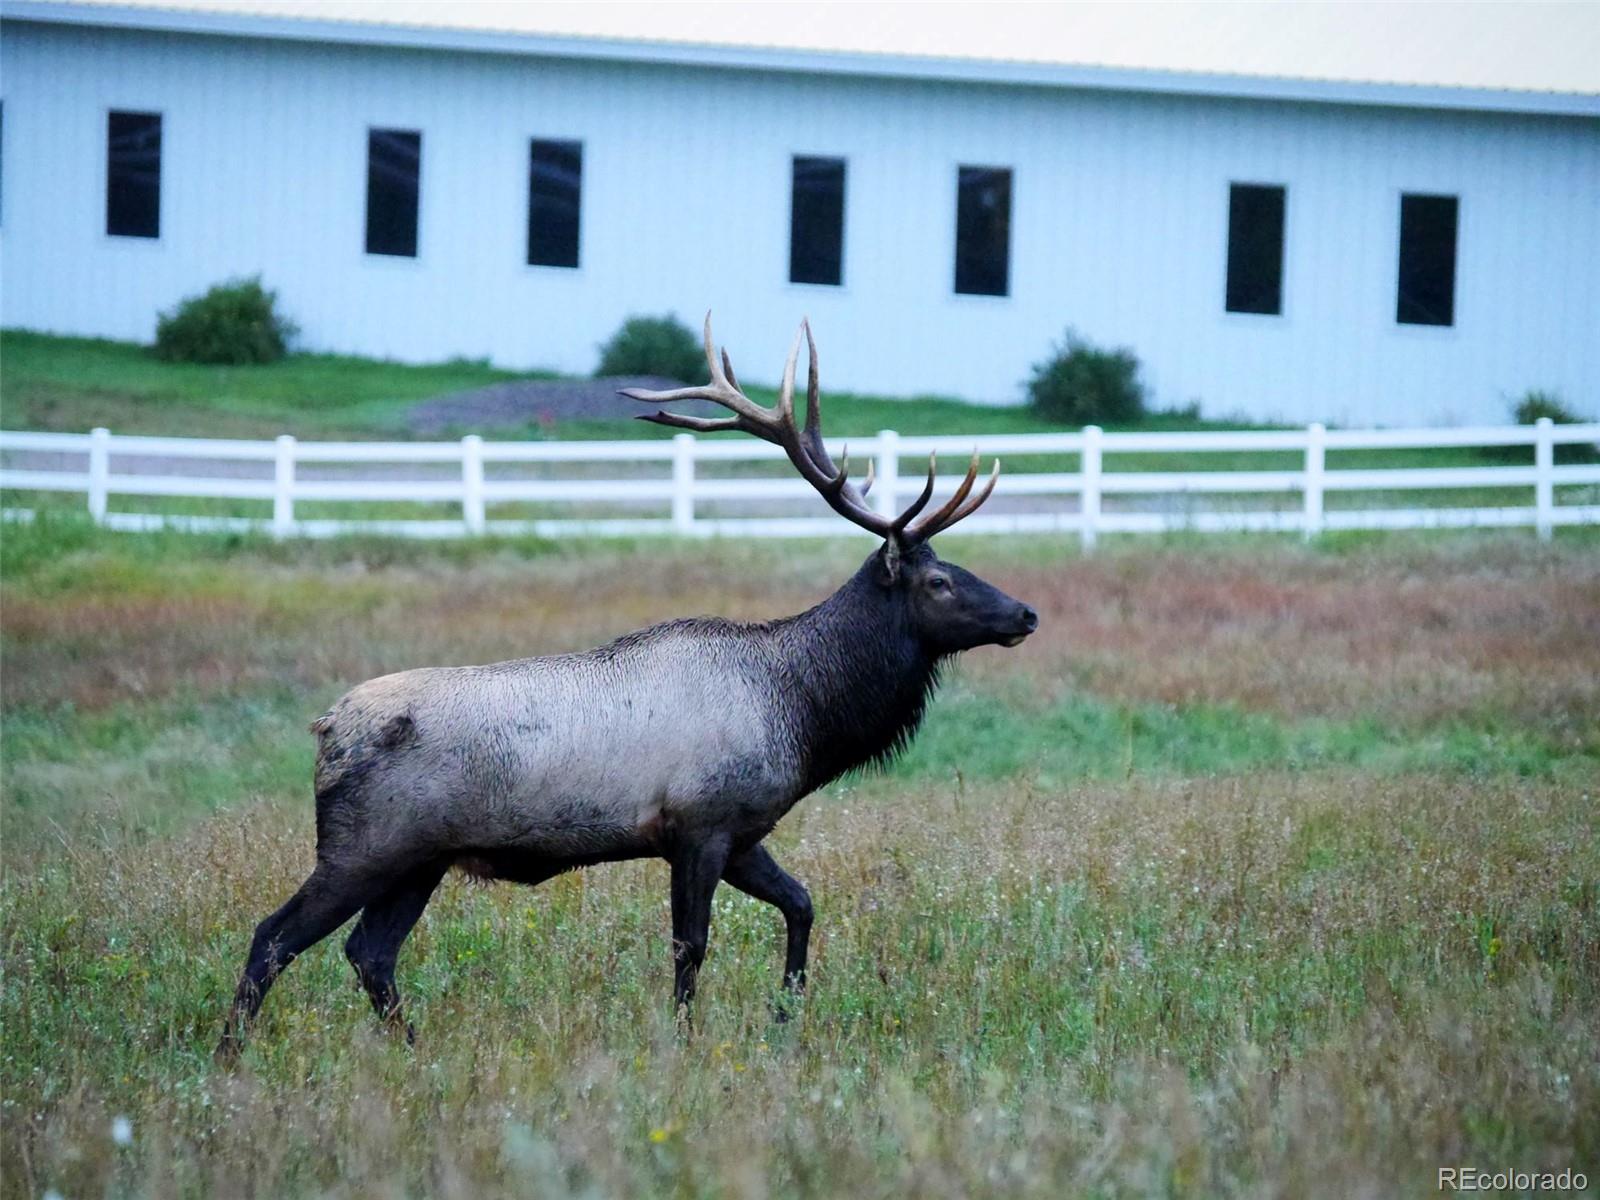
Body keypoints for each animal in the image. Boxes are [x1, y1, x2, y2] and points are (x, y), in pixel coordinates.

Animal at [216, 315, 1036, 1056]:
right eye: (938, 581)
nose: (1026, 612)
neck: (802, 716)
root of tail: (325, 730)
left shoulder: (743, 832)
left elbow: (802, 905)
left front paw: (784, 1019)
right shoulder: (699, 824)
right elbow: (690, 946)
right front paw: (684, 1042)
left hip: (420, 859)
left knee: (369, 954)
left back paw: (415, 1050)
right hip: (364, 848)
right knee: (274, 937)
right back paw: (229, 1058)